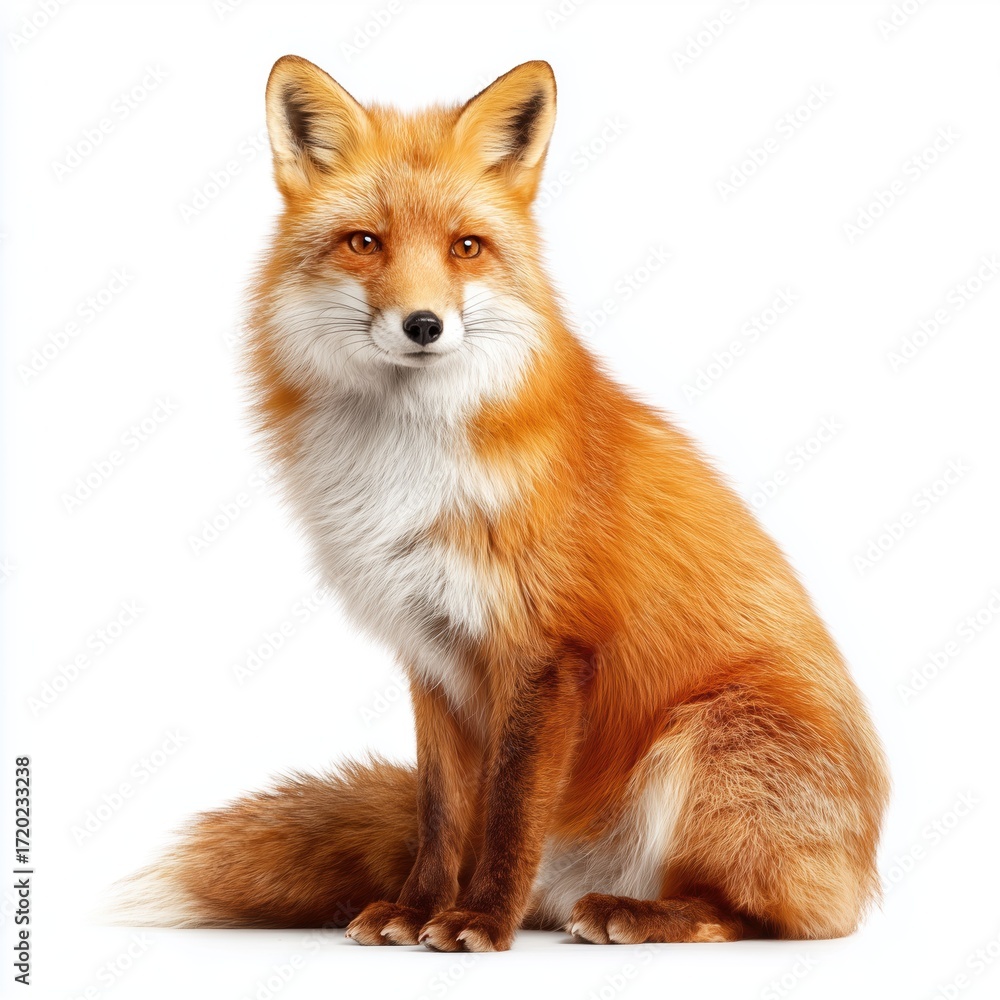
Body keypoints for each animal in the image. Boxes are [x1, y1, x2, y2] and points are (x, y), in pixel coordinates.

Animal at [114, 55, 889, 952]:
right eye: (365, 242)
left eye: (466, 247)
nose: (423, 324)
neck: (405, 468)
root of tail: (864, 870)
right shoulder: (431, 652)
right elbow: (445, 812)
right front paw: (419, 908)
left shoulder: (543, 650)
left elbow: (510, 812)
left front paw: (479, 920)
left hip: (711, 738)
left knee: (755, 917)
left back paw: (638, 913)